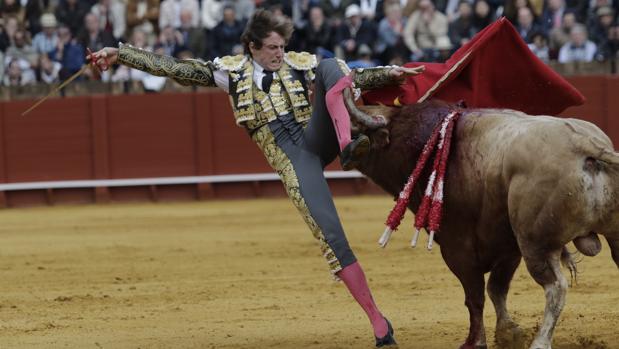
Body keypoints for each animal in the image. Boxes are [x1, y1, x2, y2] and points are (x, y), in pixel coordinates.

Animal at [344, 97, 619, 348]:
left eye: (353, 130)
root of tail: (585, 146)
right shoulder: (509, 250)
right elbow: (497, 289)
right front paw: (508, 333)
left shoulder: (458, 248)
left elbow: (474, 296)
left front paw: (475, 341)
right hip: (607, 237)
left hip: (537, 244)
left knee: (555, 288)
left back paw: (540, 342)